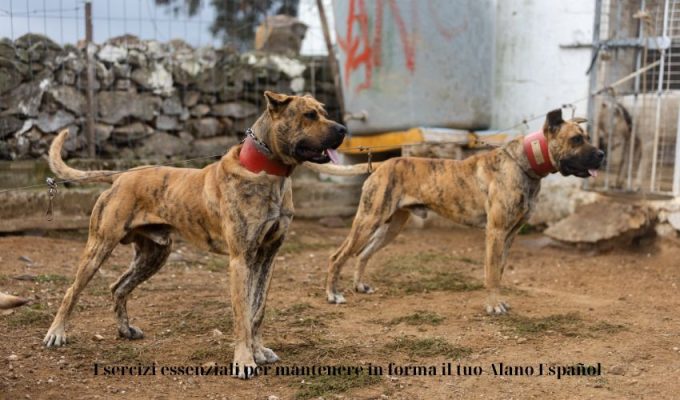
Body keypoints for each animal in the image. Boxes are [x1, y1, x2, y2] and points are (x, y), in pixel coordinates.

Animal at [43, 90, 346, 378]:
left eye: (323, 112)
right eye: (309, 115)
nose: (343, 129)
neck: (266, 172)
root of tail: (122, 175)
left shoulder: (267, 258)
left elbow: (257, 311)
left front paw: (259, 351)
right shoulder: (241, 260)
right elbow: (242, 315)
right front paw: (244, 361)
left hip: (154, 255)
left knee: (118, 287)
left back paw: (126, 330)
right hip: (100, 246)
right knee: (72, 291)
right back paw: (56, 333)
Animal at [306, 108, 604, 314]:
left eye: (587, 138)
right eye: (576, 139)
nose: (601, 155)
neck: (524, 164)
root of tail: (381, 164)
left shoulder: (510, 236)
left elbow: (500, 271)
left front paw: (499, 300)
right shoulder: (495, 233)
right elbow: (491, 273)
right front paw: (493, 305)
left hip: (390, 227)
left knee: (363, 255)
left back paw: (359, 285)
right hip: (368, 221)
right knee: (337, 256)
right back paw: (333, 294)